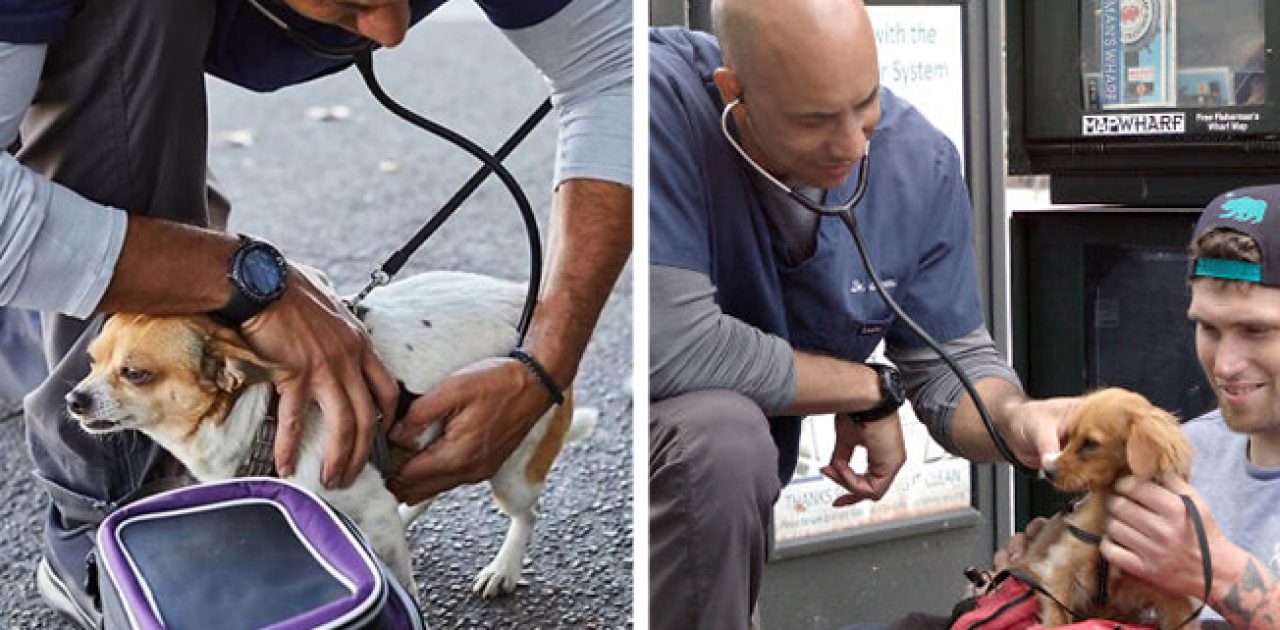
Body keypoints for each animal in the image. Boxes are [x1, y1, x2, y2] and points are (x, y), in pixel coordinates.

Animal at [1013, 386, 1192, 627]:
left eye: (1091, 443)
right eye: (1068, 436)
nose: (1047, 471)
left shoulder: (1174, 600)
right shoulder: (1061, 569)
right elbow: (1057, 617)